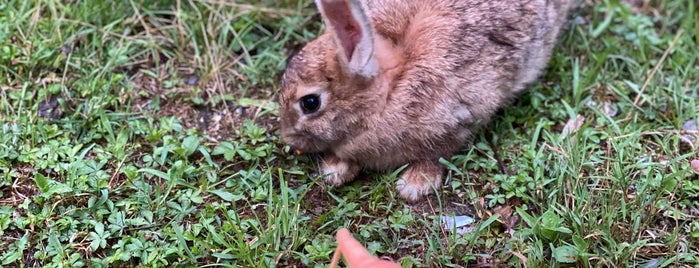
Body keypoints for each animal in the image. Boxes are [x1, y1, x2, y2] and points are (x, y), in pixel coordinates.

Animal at [278, 0, 576, 201]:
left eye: (310, 103)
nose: (289, 138)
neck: (391, 90)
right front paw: (334, 170)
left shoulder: (457, 119)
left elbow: (437, 154)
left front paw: (414, 185)